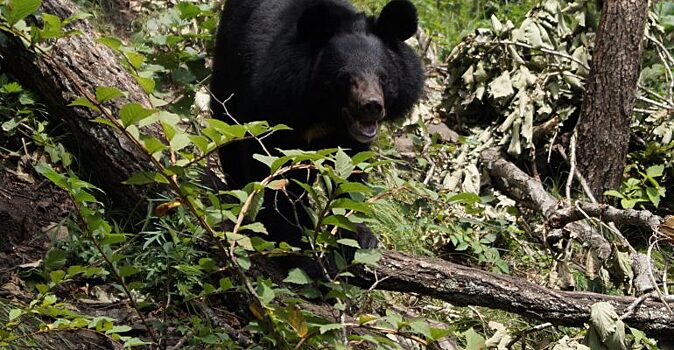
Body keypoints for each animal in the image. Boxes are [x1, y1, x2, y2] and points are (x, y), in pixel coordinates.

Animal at [211, 0, 420, 252]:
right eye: (345, 78)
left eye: (384, 78)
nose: (372, 106)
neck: (324, 113)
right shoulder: (270, 104)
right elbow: (268, 166)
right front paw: (288, 231)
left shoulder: (349, 139)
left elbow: (351, 172)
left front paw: (358, 235)